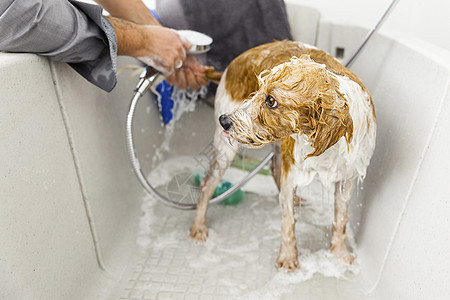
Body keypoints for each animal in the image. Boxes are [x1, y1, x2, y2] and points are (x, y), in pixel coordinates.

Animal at [193, 40, 376, 272]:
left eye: (271, 101)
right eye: (257, 90)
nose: (224, 121)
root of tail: (231, 64)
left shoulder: (347, 178)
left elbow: (341, 218)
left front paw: (340, 253)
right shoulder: (293, 170)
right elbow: (289, 221)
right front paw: (289, 258)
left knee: (274, 168)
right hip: (226, 148)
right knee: (207, 184)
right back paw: (198, 226)